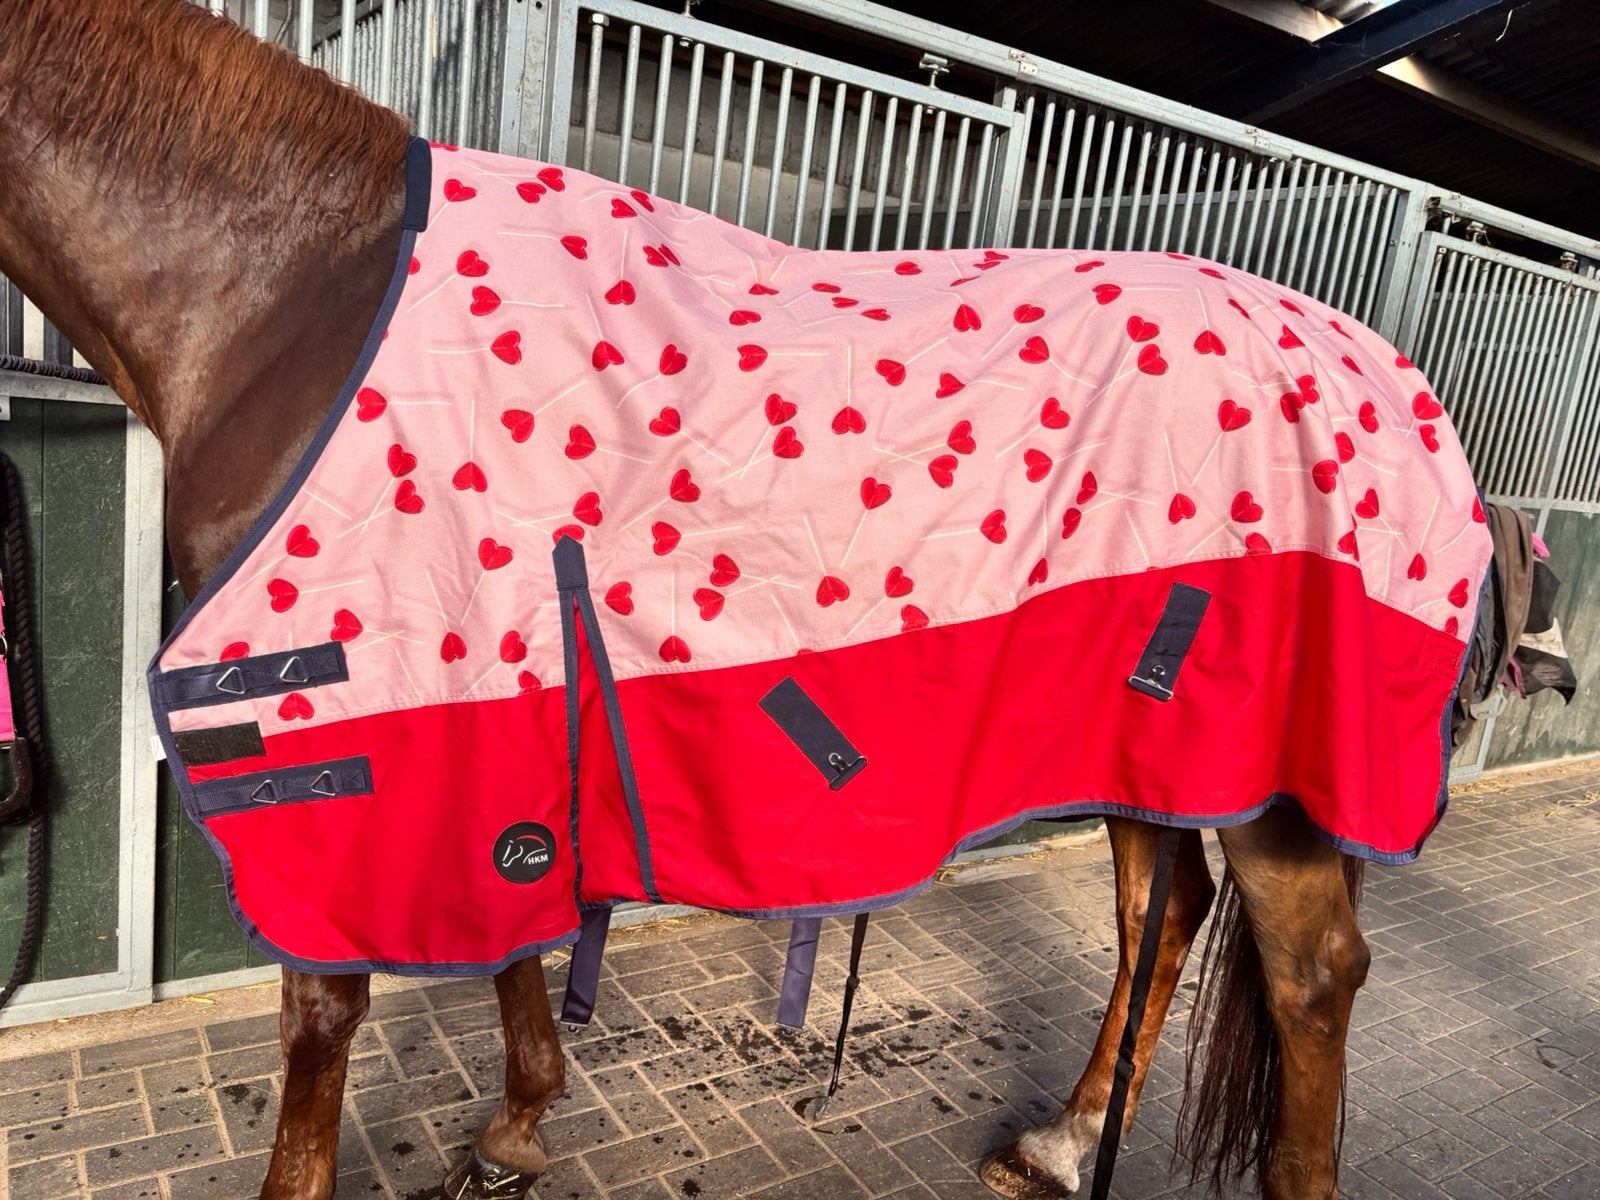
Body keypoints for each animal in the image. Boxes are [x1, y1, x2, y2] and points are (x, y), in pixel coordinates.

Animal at [0, 3, 1484, 1198]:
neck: (296, 290)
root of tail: (1392, 379)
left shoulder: (338, 727)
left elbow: (322, 1018)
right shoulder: (489, 689)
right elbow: (522, 921)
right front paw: (515, 1128)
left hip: (1283, 784)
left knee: (1312, 976)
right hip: (1157, 738)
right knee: (1157, 922)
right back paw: (1061, 1145)